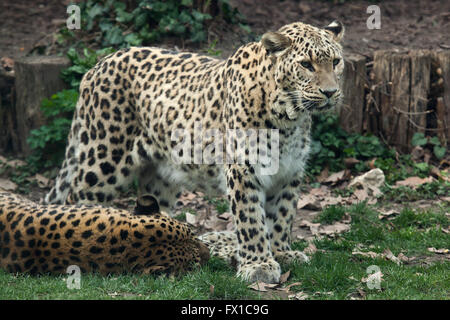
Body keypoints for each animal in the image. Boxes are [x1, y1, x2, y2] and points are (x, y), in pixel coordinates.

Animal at [45, 21, 346, 282]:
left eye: (336, 62)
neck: (288, 117)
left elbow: (282, 216)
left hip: (159, 177)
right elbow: (250, 218)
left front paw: (282, 253)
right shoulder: (243, 169)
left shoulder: (289, 171)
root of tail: (97, 65)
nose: (331, 92)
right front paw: (258, 265)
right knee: (77, 200)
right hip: (103, 161)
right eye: (306, 64)